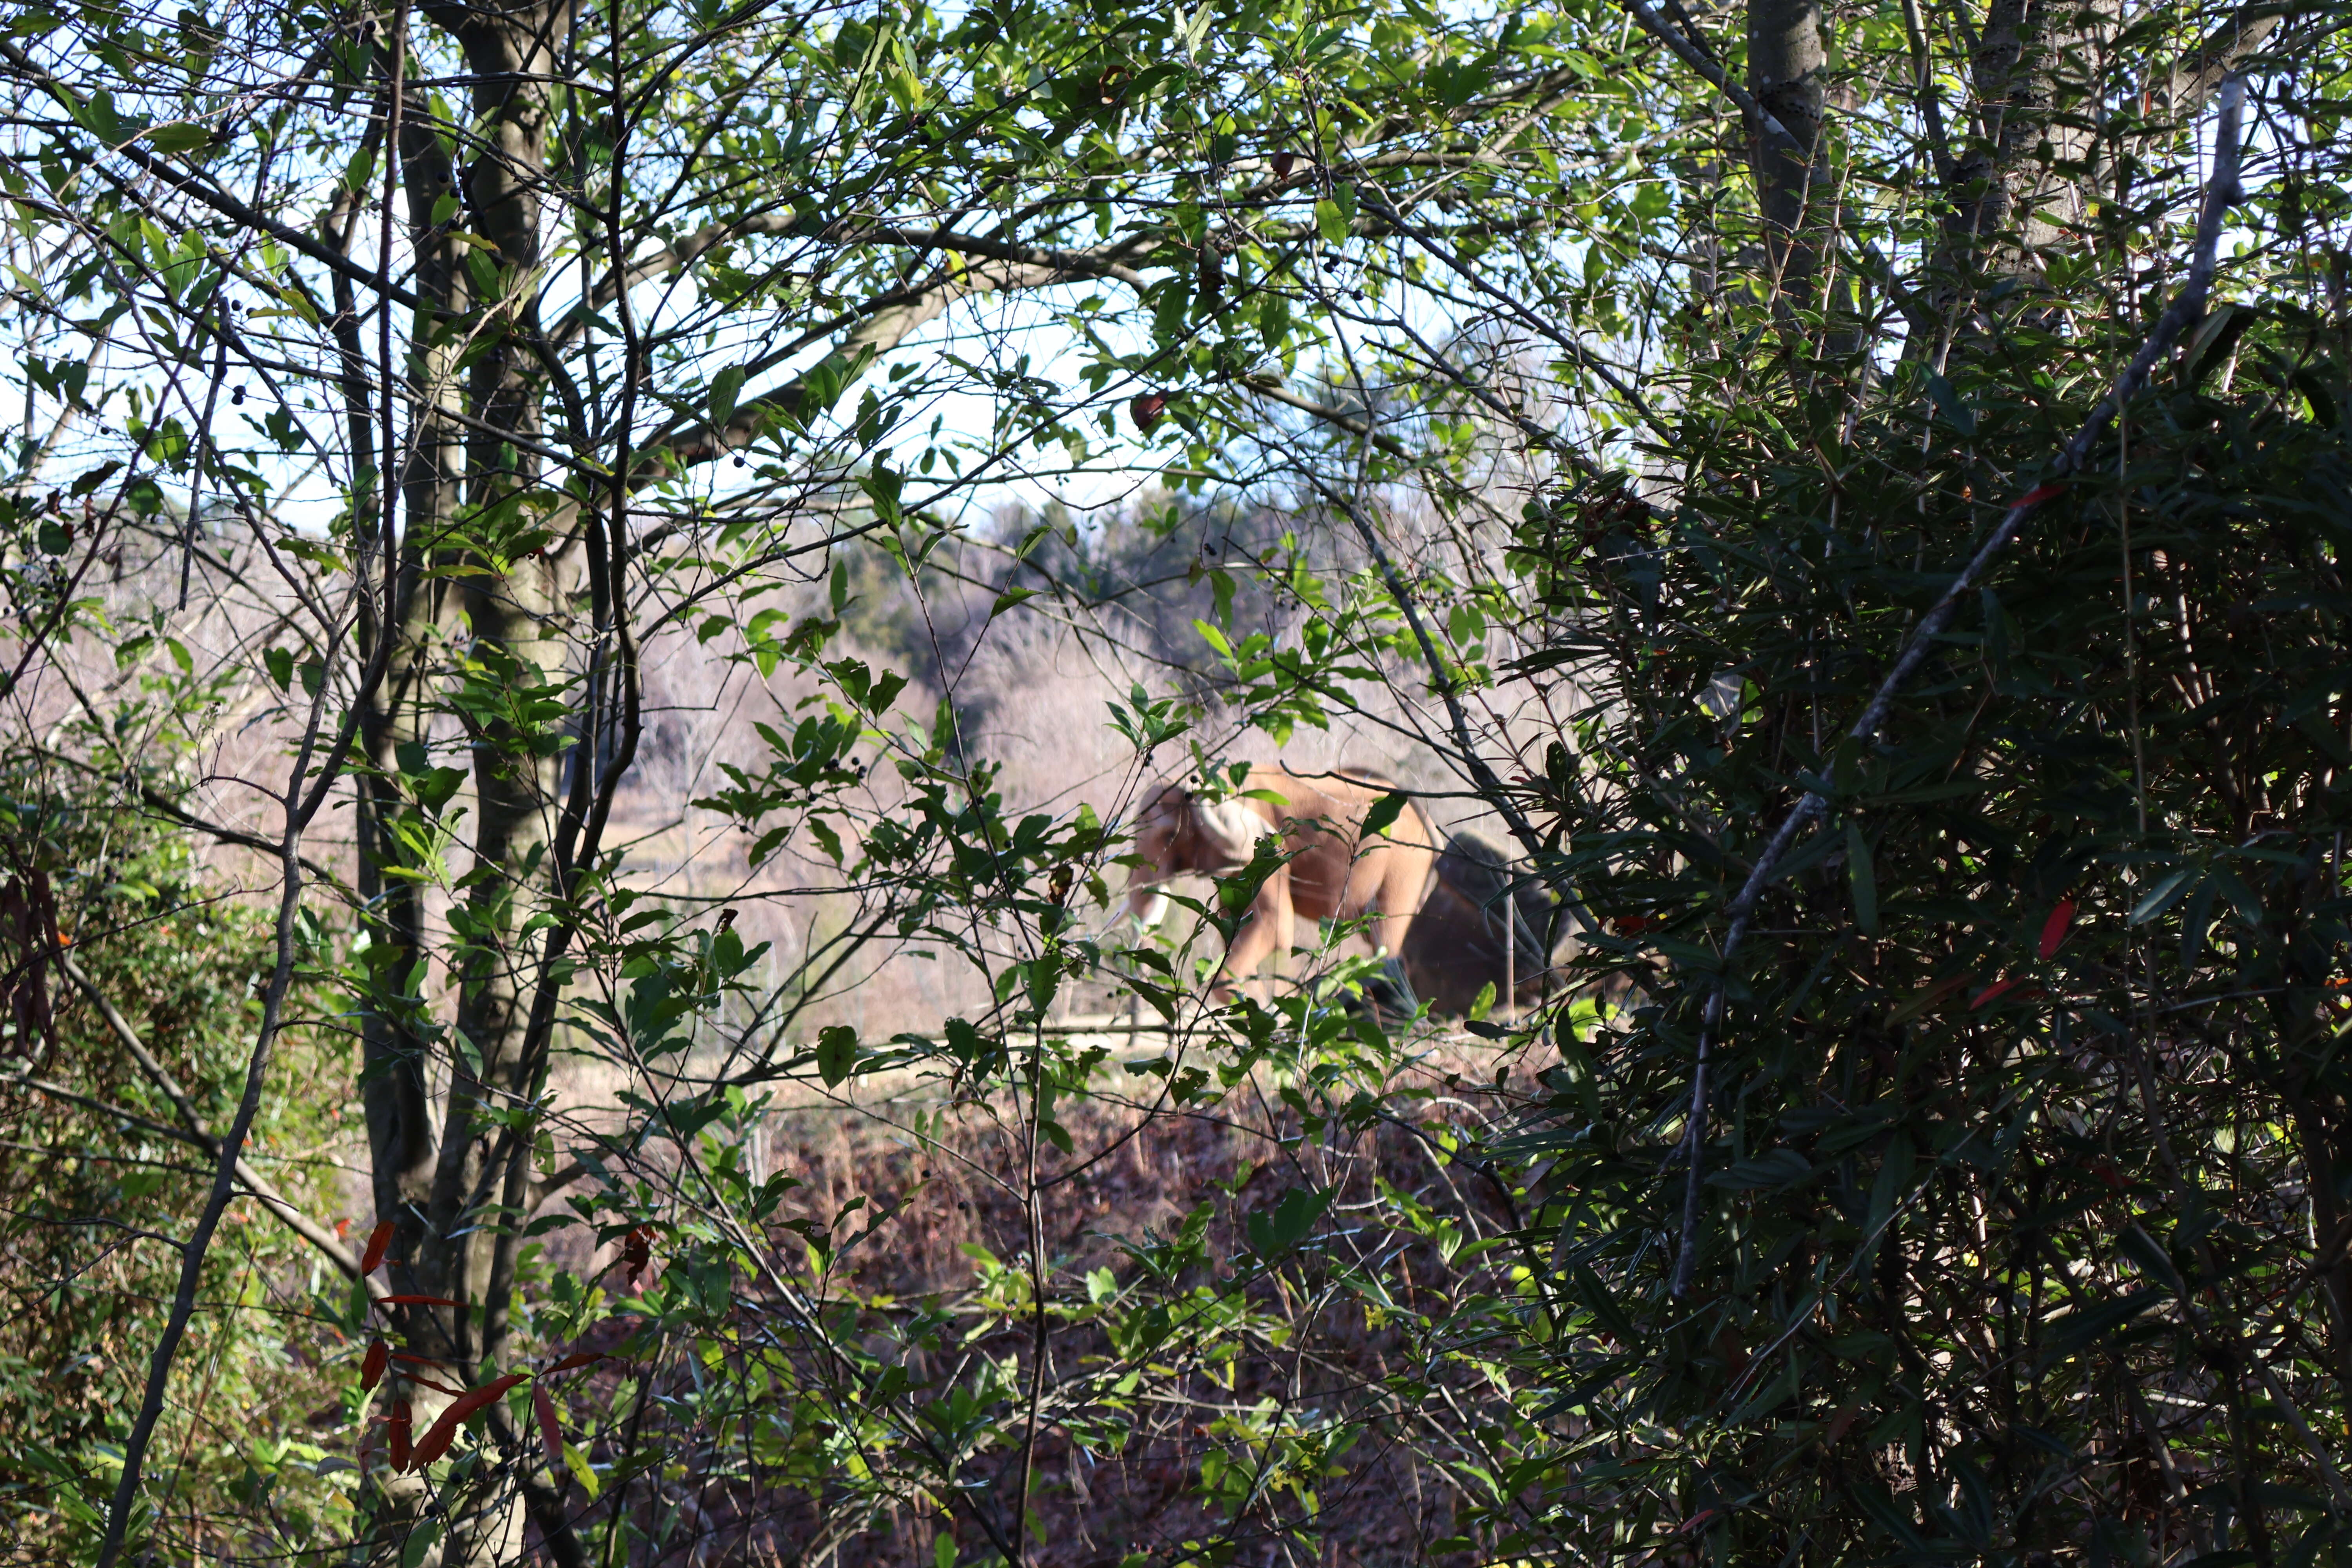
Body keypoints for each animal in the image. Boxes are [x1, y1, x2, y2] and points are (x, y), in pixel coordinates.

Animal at [1120, 766, 1430, 1001]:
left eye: (1168, 835)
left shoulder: (1270, 853)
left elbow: (1274, 926)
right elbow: (1234, 927)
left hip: (1404, 866)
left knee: (1387, 942)